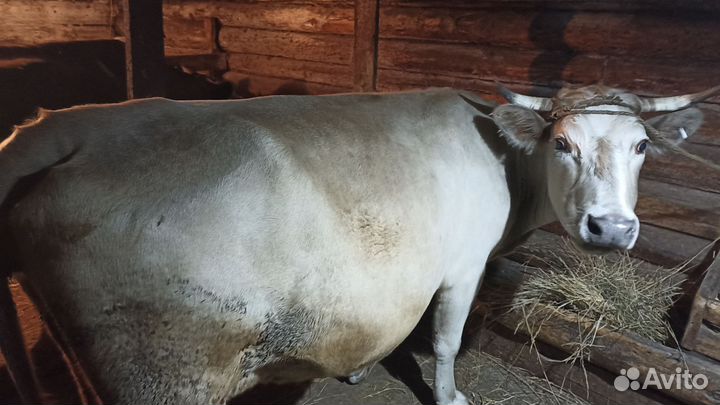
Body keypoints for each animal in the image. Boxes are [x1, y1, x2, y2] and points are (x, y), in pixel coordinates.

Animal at [0, 85, 716, 405]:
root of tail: (55, 131)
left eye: (642, 146)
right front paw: (449, 395)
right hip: (166, 369)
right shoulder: (462, 265)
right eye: (562, 143)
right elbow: (445, 341)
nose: (611, 227)